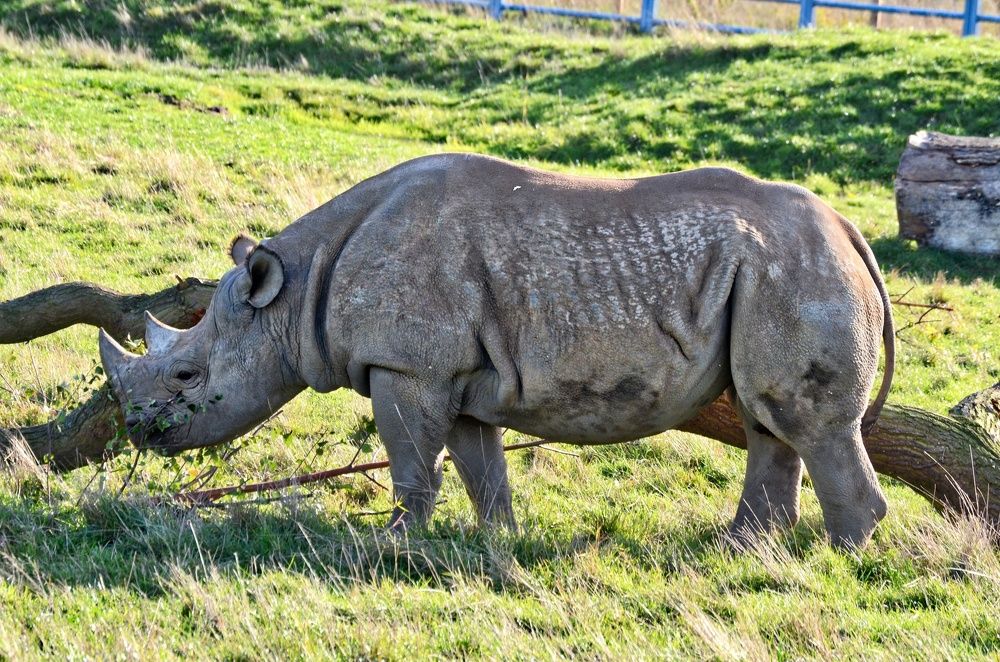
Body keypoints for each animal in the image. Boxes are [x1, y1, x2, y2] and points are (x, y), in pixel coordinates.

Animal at [100, 153, 894, 547]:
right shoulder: (454, 371)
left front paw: (392, 547)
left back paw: (841, 558)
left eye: (186, 374)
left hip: (797, 272)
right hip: (775, 274)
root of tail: (850, 231)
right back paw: (748, 553)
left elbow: (411, 460)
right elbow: (478, 463)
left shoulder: (406, 365)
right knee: (769, 419)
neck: (293, 294)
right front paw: (496, 541)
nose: (138, 431)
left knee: (805, 421)